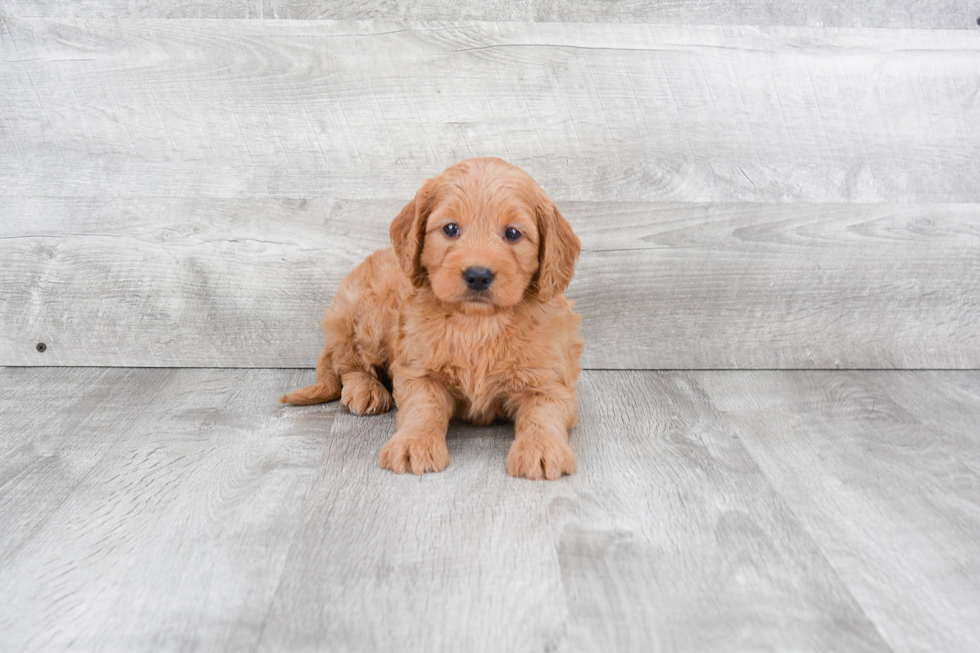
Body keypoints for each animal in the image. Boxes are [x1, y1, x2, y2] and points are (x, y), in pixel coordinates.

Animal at [280, 158, 580, 478]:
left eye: (512, 233)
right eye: (450, 228)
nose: (478, 275)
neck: (477, 323)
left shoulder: (549, 378)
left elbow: (543, 413)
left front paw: (542, 448)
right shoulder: (418, 370)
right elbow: (423, 408)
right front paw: (414, 443)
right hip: (362, 316)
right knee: (348, 362)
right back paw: (366, 389)